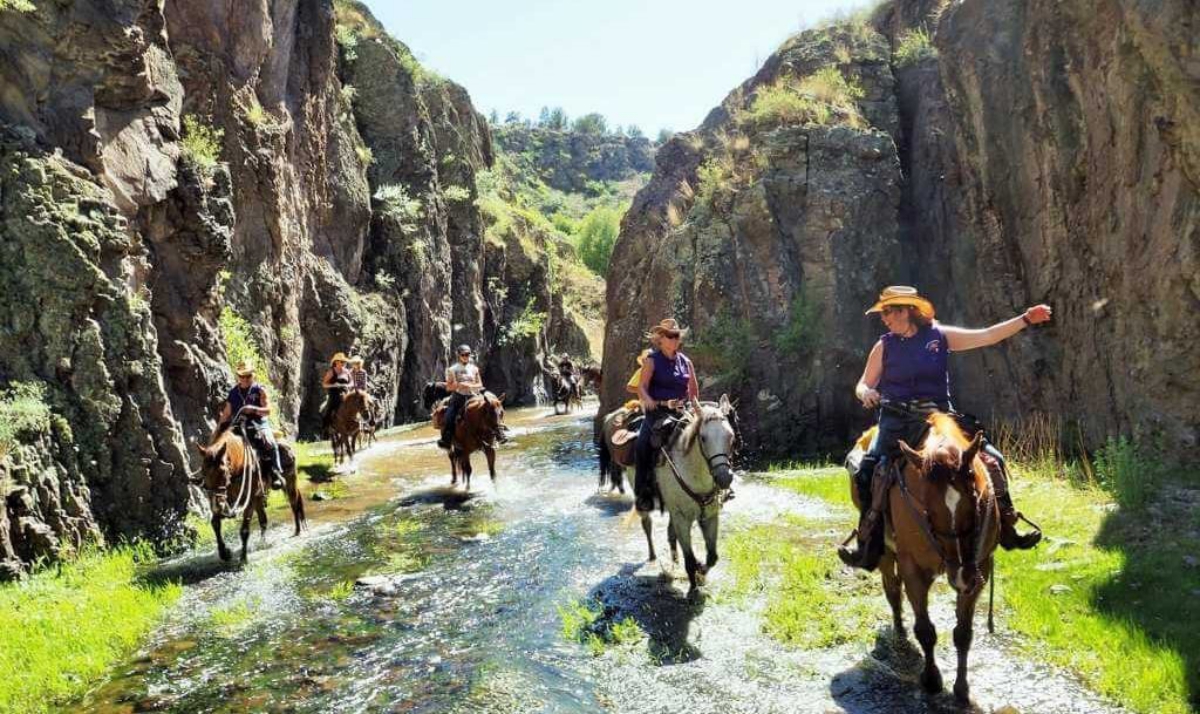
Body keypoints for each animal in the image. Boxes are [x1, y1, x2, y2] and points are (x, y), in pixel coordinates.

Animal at [190, 427, 304, 561]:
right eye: (203, 471)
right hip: (259, 497)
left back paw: (297, 530)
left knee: (294, 503)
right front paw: (224, 553)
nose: (218, 504)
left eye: (223, 472)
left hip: (289, 482)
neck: (238, 467)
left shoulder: (249, 500)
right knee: (263, 520)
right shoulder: (218, 501)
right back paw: (262, 542)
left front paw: (243, 557)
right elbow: (215, 523)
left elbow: (244, 529)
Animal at [638, 396, 739, 592]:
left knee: (670, 534)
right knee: (647, 525)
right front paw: (694, 585)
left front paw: (701, 572)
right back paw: (652, 555)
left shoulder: (710, 516)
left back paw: (675, 561)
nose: (724, 478)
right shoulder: (682, 518)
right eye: (703, 438)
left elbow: (712, 556)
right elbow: (690, 559)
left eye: (731, 436)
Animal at [854, 412, 1003, 705]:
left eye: (975, 500)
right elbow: (925, 630)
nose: (962, 576)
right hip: (886, 552)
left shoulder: (980, 569)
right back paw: (900, 632)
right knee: (892, 591)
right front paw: (932, 680)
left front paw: (961, 690)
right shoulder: (913, 569)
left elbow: (963, 634)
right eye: (928, 510)